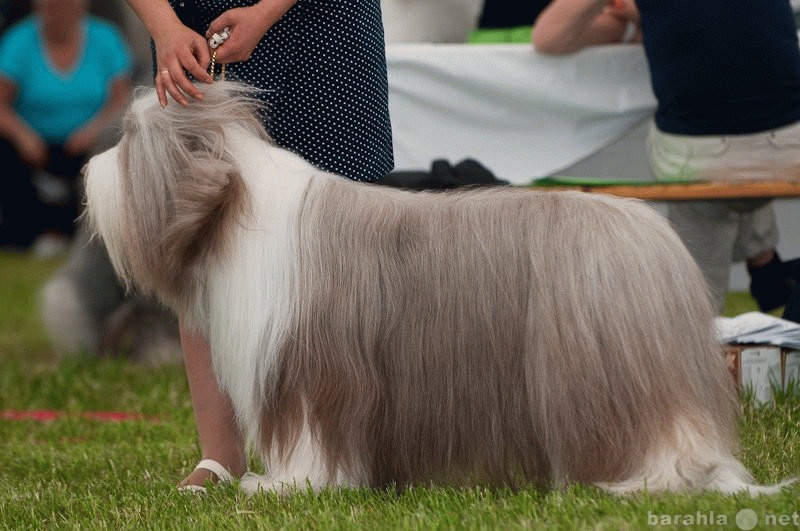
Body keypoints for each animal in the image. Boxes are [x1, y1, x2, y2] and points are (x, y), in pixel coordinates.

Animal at [84, 81, 784, 496]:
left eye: (130, 142)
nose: (89, 168)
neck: (237, 210)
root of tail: (653, 236)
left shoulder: (309, 374)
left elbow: (309, 443)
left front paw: (283, 487)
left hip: (612, 372)